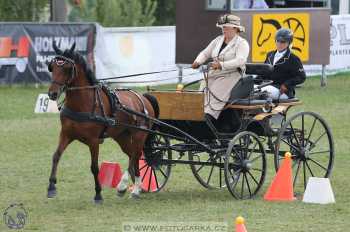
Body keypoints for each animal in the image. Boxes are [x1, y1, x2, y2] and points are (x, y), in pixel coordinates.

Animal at [46, 42, 159, 203]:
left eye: (67, 68)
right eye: (52, 67)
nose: (52, 93)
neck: (83, 104)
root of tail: (143, 97)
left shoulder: (93, 141)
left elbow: (94, 167)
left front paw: (98, 194)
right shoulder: (66, 134)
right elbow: (56, 156)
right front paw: (51, 187)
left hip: (139, 135)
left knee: (135, 155)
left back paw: (127, 186)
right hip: (122, 136)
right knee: (133, 155)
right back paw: (133, 187)